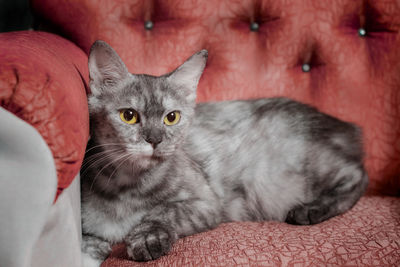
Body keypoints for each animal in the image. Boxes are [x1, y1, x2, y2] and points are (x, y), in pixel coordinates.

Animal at [81, 40, 368, 266]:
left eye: (171, 118)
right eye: (128, 116)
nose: (155, 139)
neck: (128, 186)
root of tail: (344, 126)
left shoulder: (206, 202)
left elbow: (164, 211)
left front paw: (146, 238)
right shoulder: (88, 232)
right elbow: (88, 246)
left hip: (290, 174)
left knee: (357, 175)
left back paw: (310, 210)